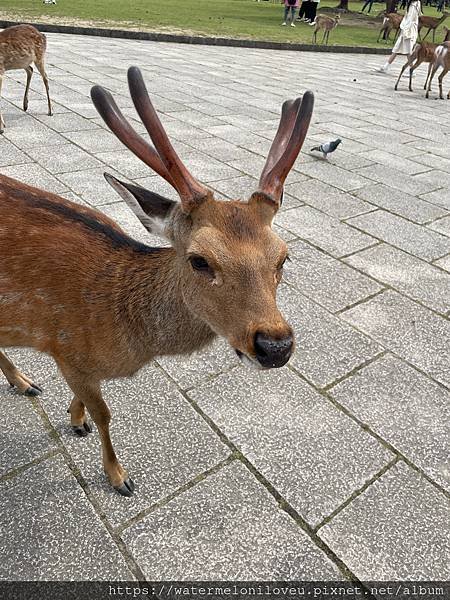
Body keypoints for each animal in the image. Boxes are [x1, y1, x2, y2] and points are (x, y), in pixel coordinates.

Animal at [0, 65, 314, 496]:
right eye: (200, 260)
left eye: (284, 257)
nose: (275, 346)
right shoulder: (66, 350)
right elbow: (105, 414)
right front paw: (118, 476)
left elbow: (87, 405)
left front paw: (75, 419)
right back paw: (25, 381)